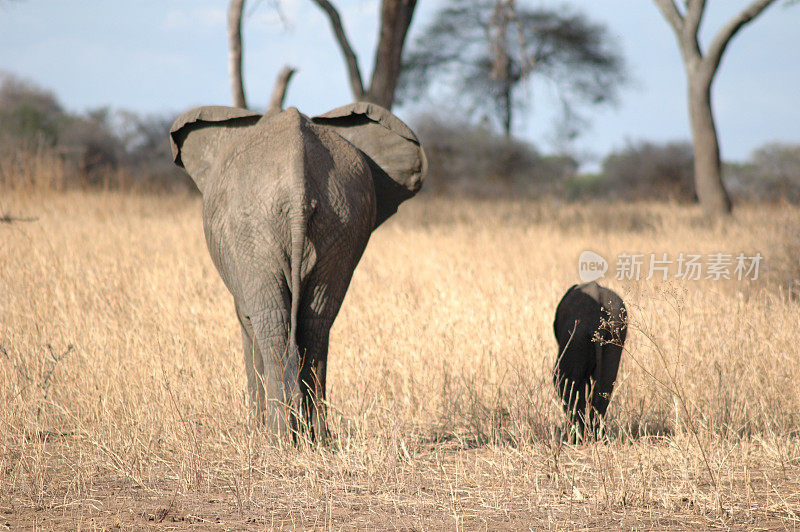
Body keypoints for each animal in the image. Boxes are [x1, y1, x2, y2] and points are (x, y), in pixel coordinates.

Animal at [170, 103, 428, 440]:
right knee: (316, 321)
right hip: (340, 222)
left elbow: (246, 322)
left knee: (272, 322)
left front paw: (254, 430)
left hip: (252, 230)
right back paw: (317, 438)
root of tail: (297, 182)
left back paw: (278, 439)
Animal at [552, 282, 628, 440]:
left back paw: (576, 439)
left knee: (565, 382)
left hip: (577, 336)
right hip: (616, 334)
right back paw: (598, 438)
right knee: (605, 386)